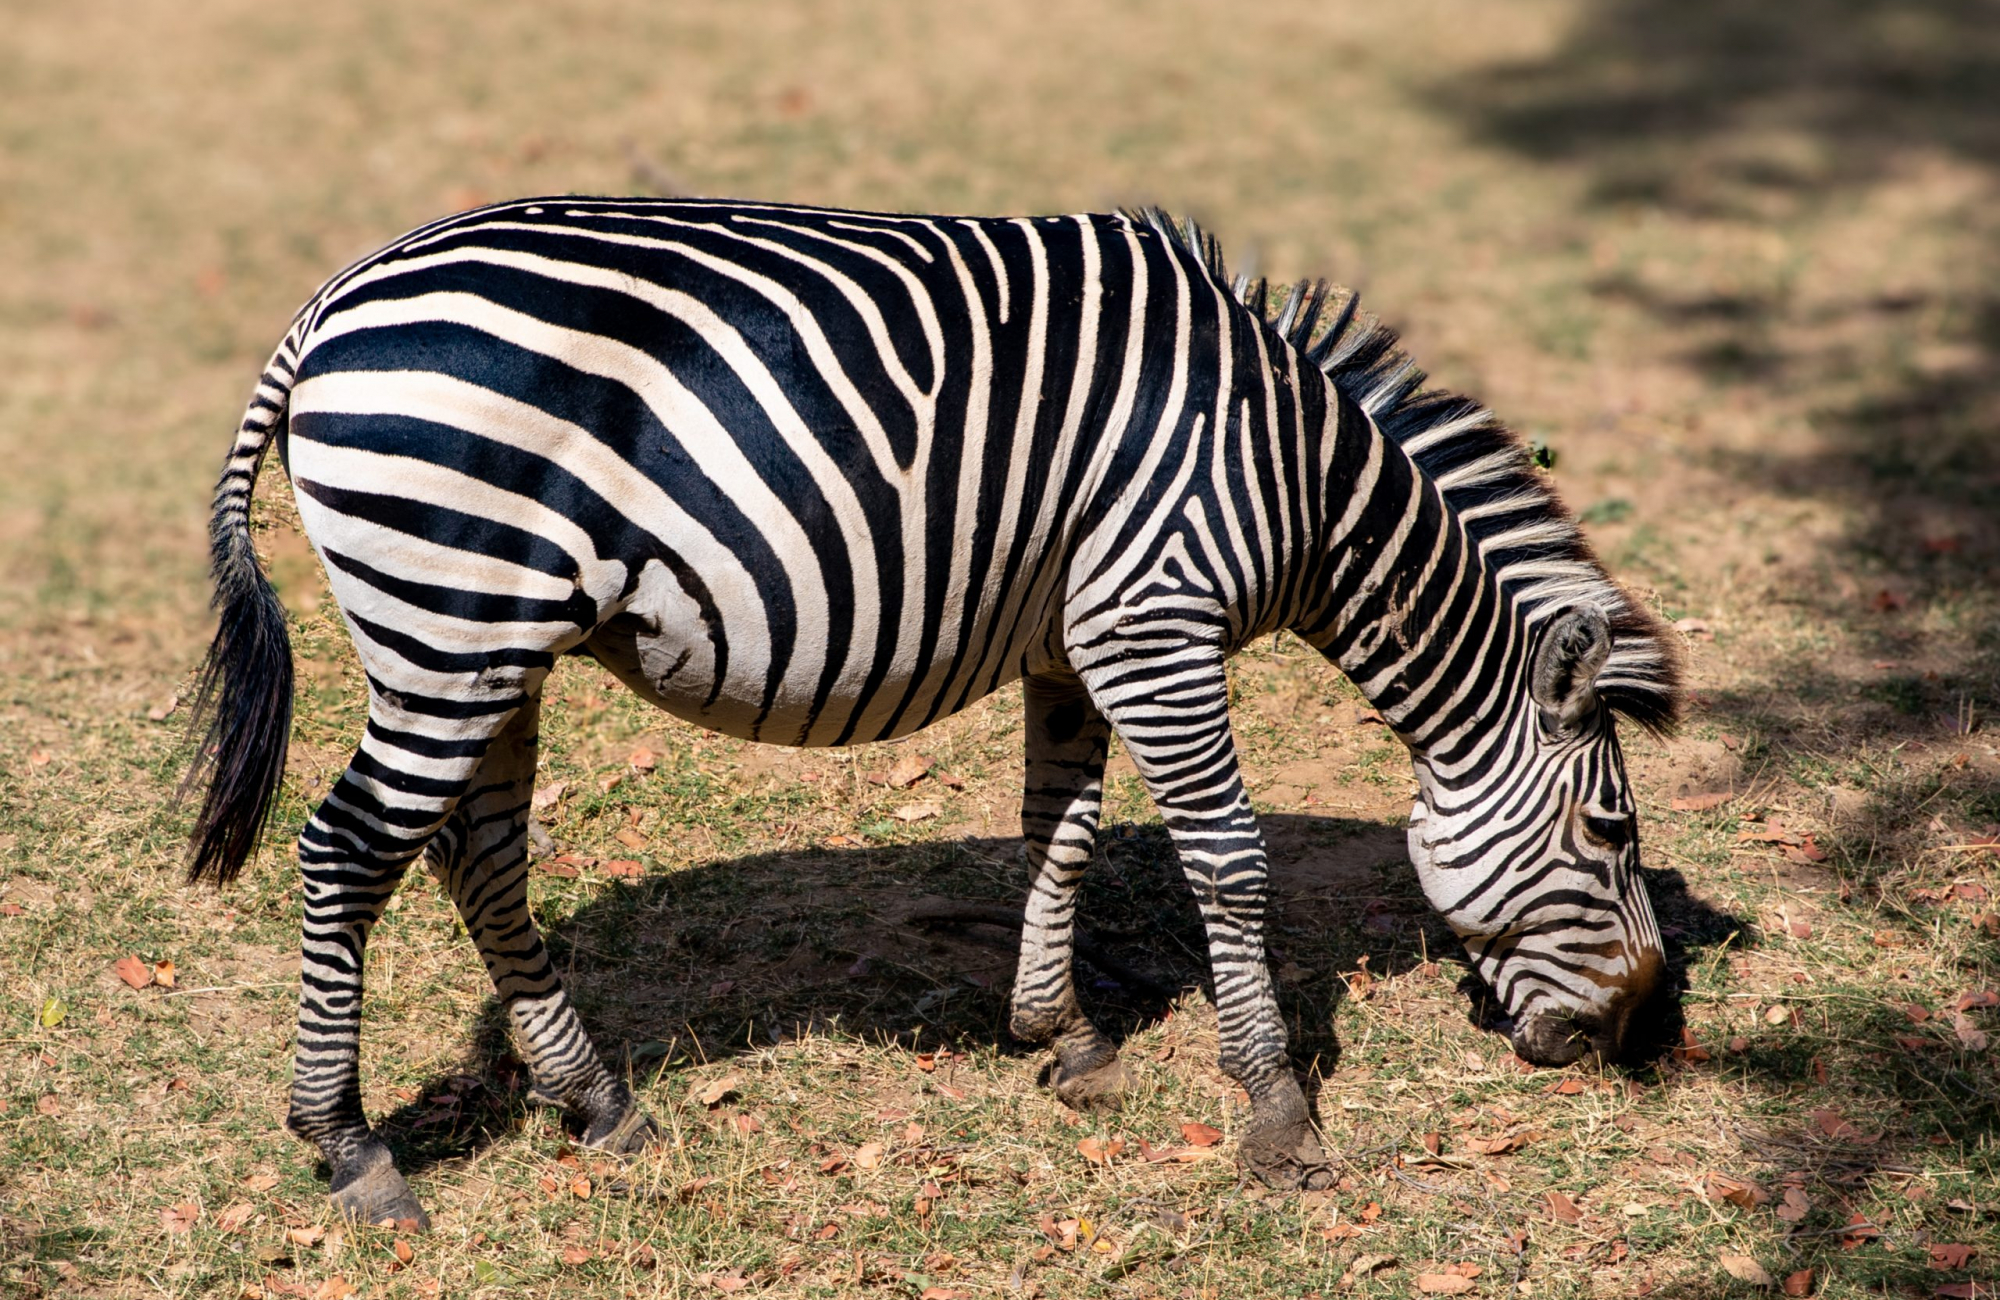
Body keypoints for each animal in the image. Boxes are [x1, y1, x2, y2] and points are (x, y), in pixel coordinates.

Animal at [182, 197, 1682, 1228]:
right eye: (1611, 832)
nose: (1636, 1043)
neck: (1298, 477)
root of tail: (330, 304)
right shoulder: (1156, 621)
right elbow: (1229, 861)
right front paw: (1273, 1106)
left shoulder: (1076, 640)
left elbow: (1058, 831)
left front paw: (1061, 1041)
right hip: (452, 616)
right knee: (346, 852)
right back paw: (352, 1150)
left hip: (492, 641)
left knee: (476, 852)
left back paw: (598, 1104)